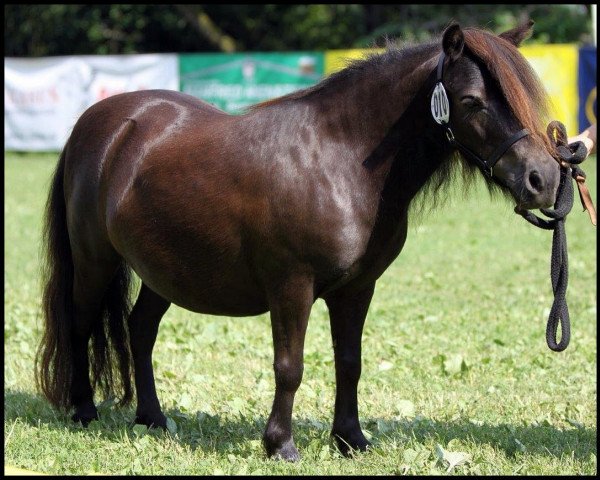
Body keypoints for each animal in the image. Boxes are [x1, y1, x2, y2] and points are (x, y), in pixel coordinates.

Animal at [37, 23, 560, 462]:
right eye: (472, 100)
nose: (544, 179)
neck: (340, 160)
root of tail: (98, 122)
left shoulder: (357, 290)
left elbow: (350, 362)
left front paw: (350, 439)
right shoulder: (292, 287)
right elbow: (289, 366)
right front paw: (280, 445)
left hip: (164, 271)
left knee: (140, 330)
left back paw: (153, 418)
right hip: (94, 261)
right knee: (80, 324)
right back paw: (84, 411)